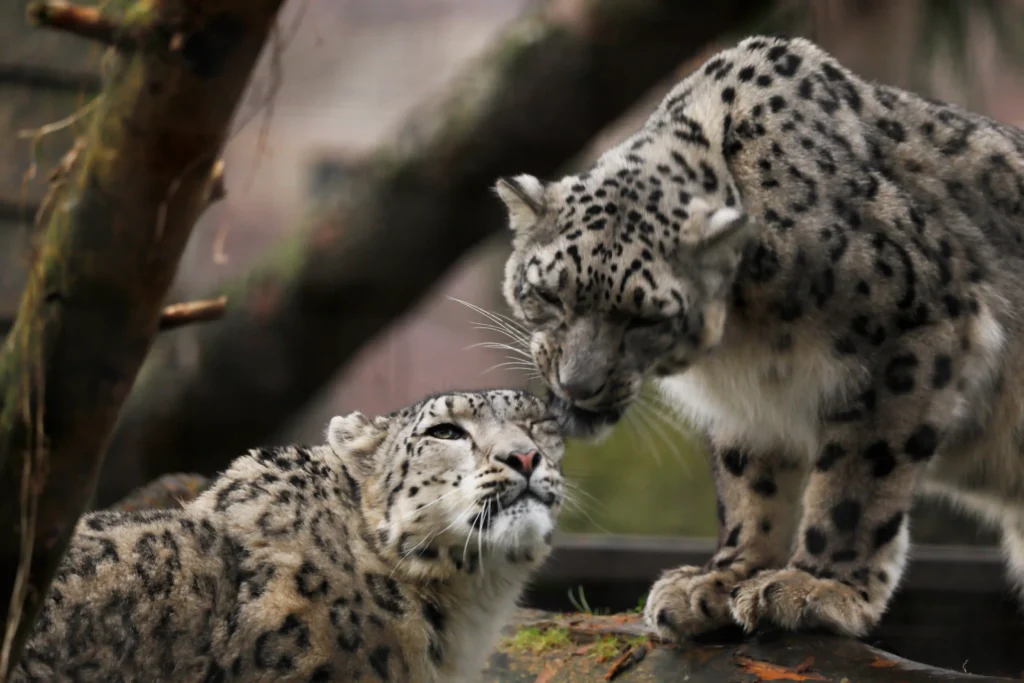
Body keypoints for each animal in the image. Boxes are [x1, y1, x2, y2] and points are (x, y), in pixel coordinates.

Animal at [493, 33, 1024, 642]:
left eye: (643, 319)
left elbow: (858, 477)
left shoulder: (921, 329)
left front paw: (819, 585)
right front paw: (719, 580)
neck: (749, 340)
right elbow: (749, 484)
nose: (577, 385)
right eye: (549, 293)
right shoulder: (748, 403)